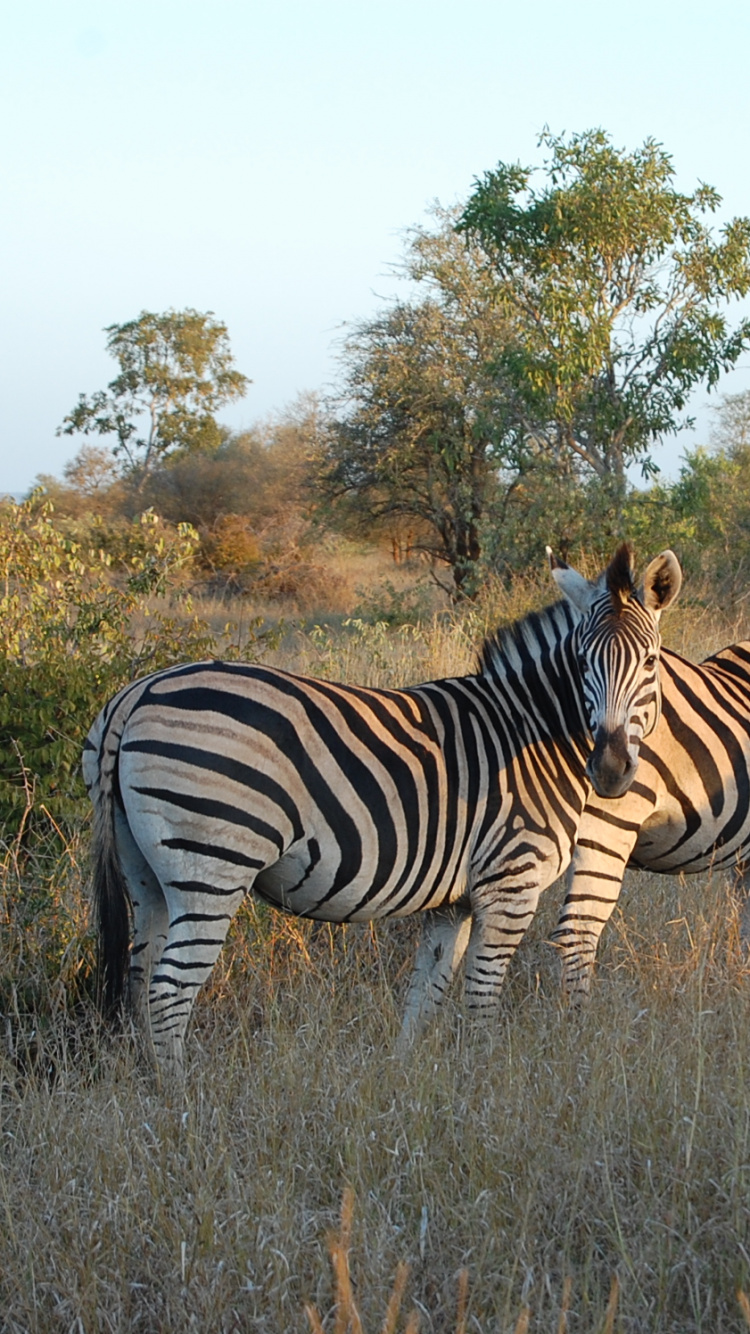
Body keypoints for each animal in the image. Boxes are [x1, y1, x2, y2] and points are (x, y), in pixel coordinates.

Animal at [83, 544, 680, 1077]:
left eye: (649, 661)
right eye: (581, 662)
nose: (610, 770)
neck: (531, 731)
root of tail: (136, 694)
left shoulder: (455, 901)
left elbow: (425, 996)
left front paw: (409, 1081)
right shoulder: (510, 883)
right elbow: (481, 999)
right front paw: (487, 1082)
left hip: (146, 873)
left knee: (140, 977)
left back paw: (147, 1088)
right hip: (211, 864)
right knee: (167, 992)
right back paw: (180, 1101)